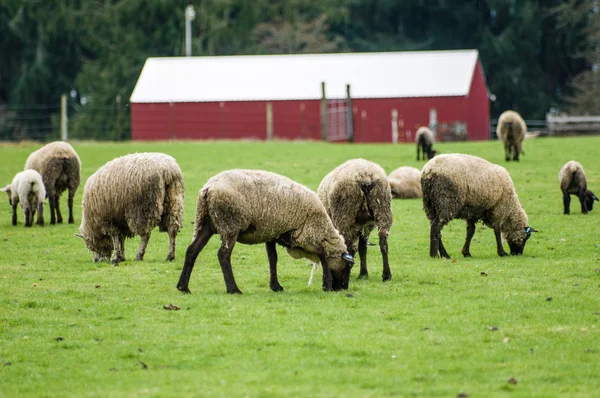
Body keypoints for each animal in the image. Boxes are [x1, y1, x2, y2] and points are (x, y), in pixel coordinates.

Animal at [176, 169, 354, 294]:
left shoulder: (274, 234)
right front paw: (327, 283)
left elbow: (272, 259)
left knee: (192, 250)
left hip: (206, 223)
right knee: (223, 255)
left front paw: (276, 286)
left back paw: (183, 287)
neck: (323, 229)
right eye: (348, 267)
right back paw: (233, 289)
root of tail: (208, 188)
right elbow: (322, 252)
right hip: (230, 224)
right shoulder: (301, 235)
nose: (343, 288)